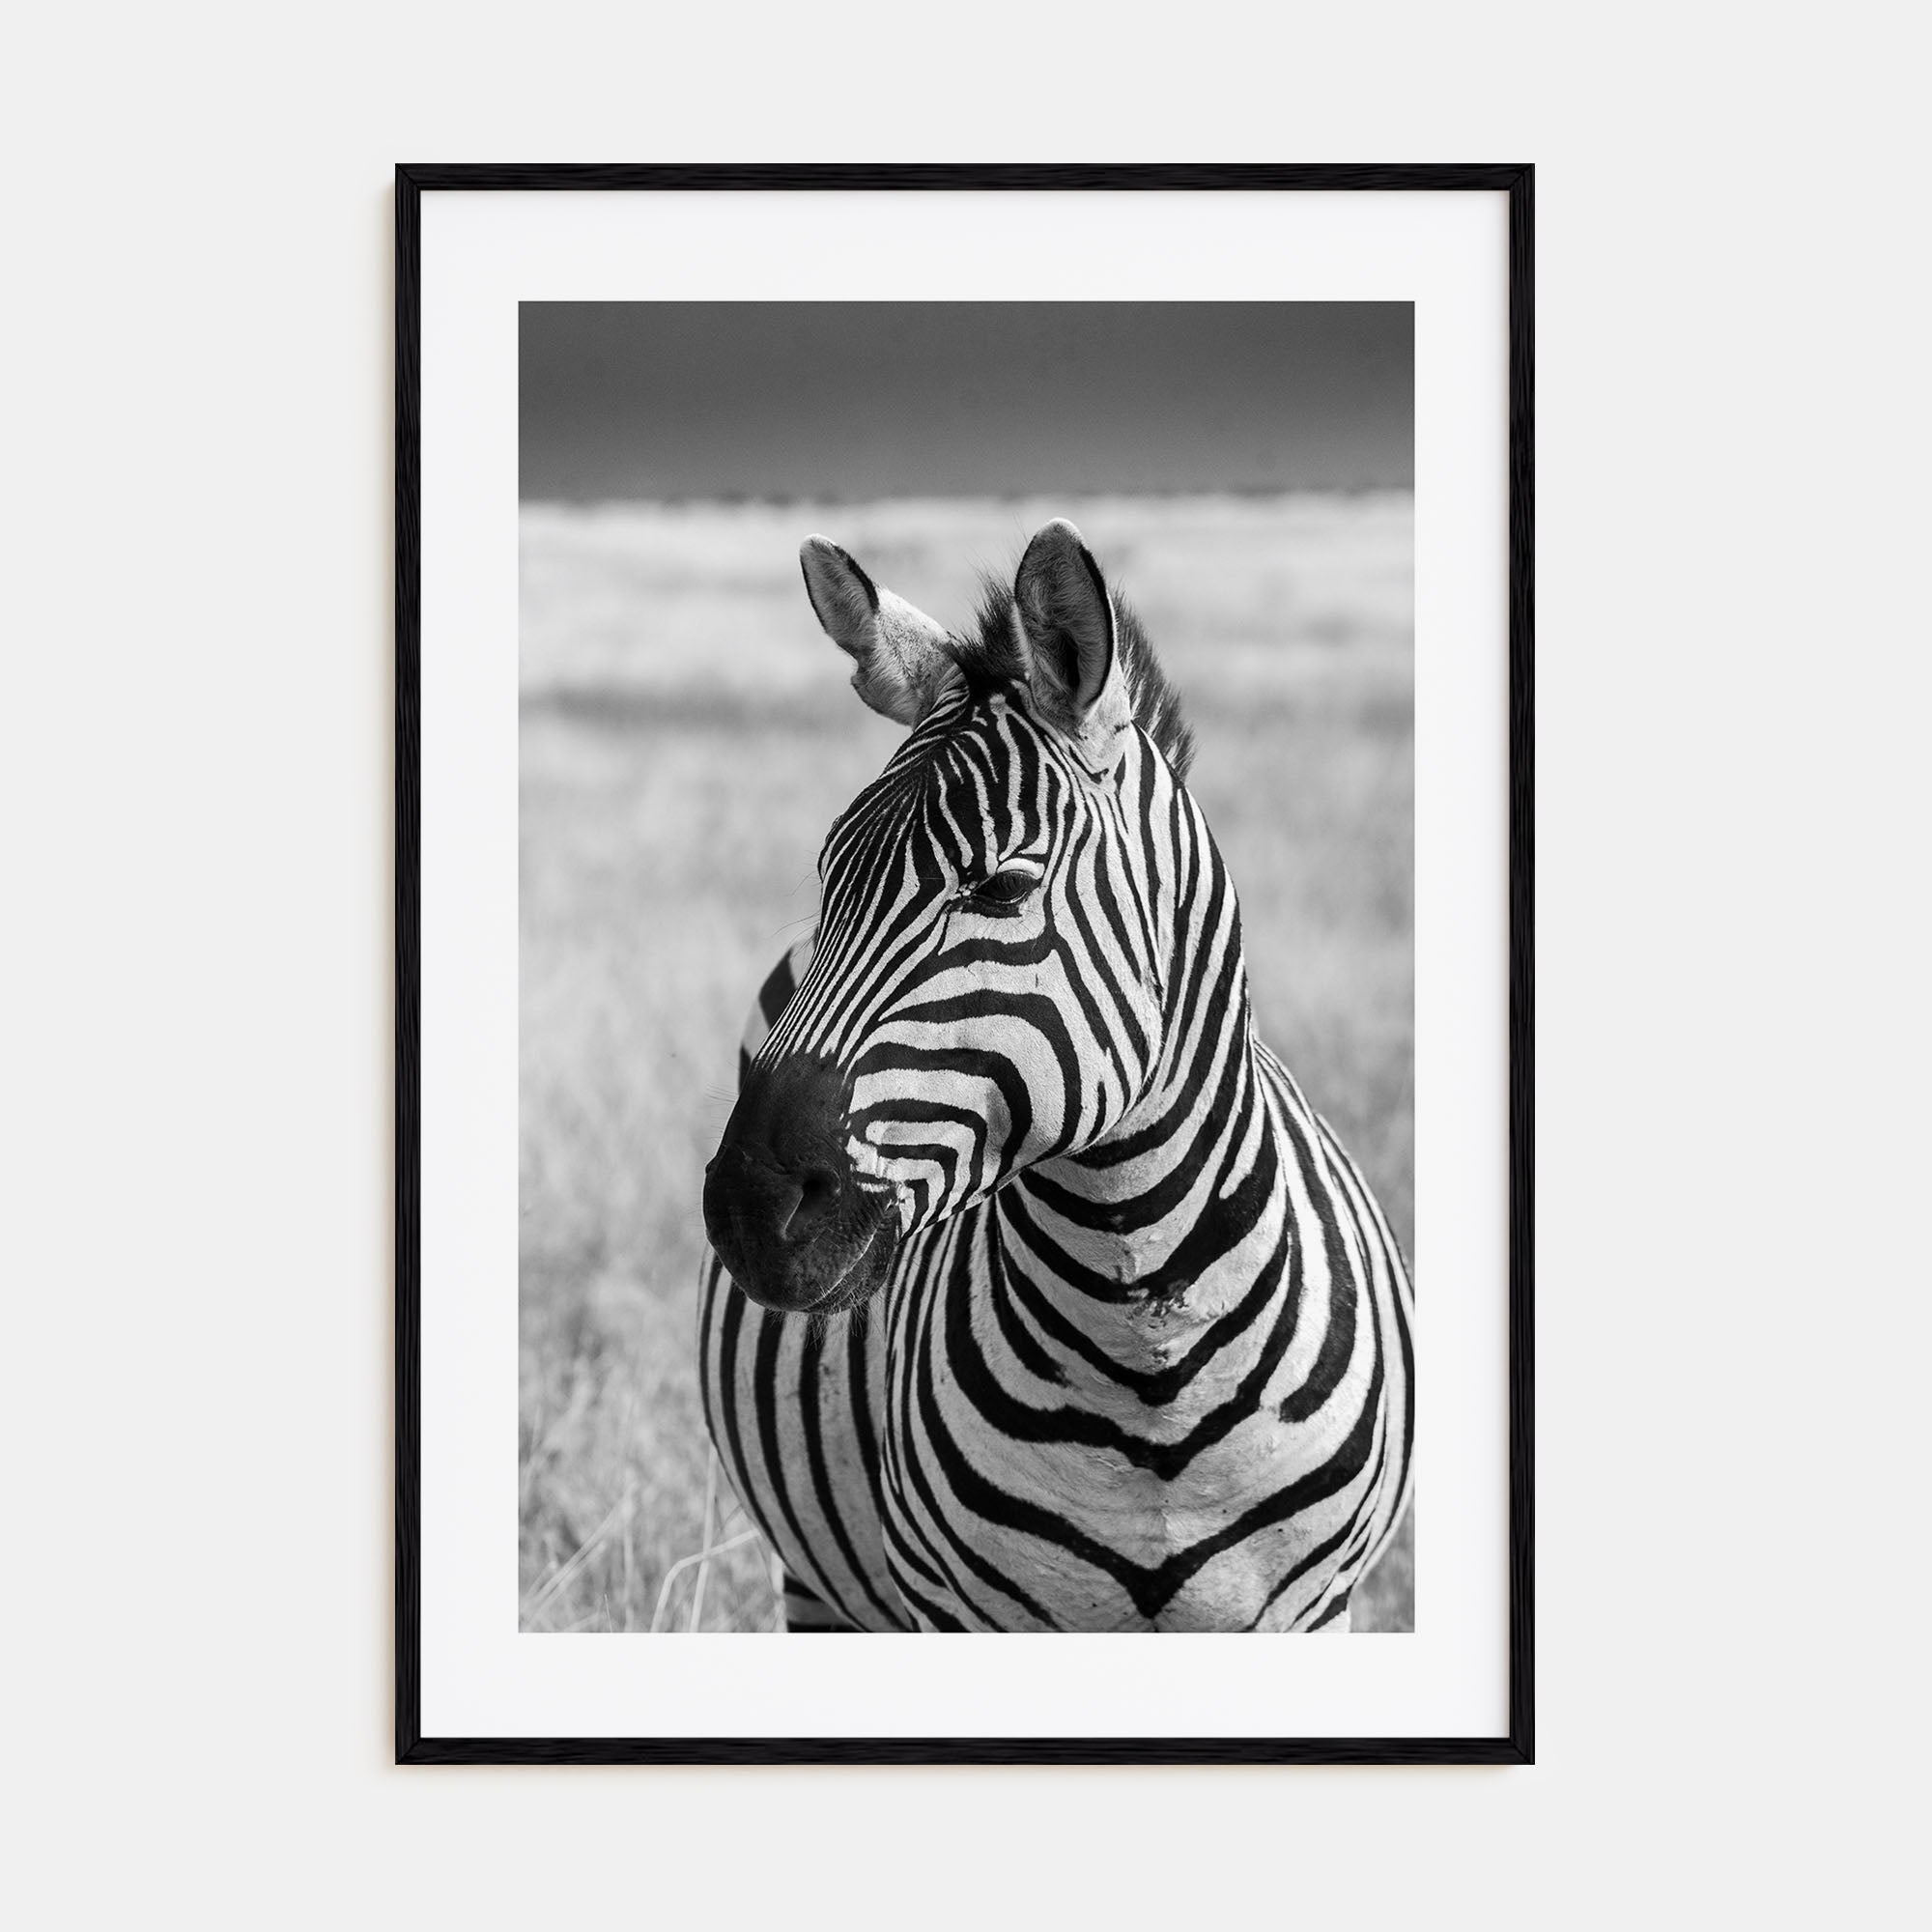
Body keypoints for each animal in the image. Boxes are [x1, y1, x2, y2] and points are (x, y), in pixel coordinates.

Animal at [697, 519, 1413, 1632]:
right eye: (827, 877)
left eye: (999, 886)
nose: (748, 1205)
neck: (1148, 1356)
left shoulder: (1315, 1607)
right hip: (818, 1582)